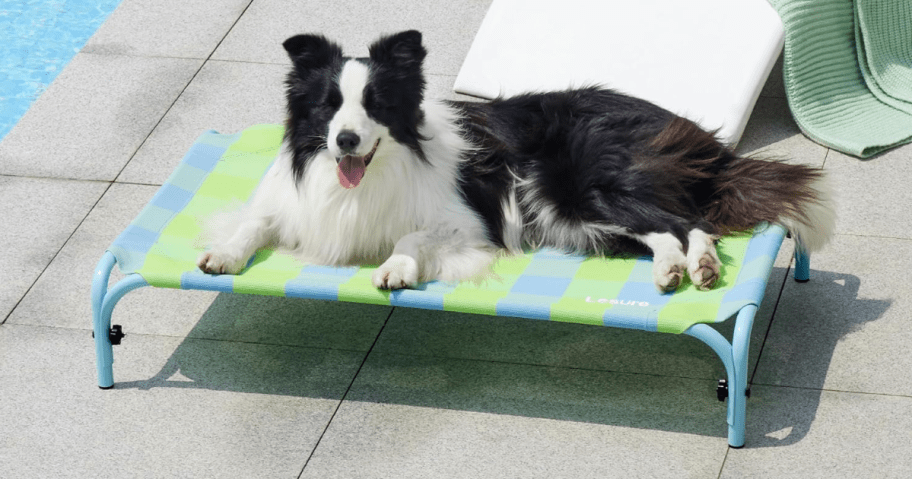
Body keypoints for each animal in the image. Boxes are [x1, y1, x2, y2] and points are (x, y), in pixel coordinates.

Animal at [198, 31, 832, 292]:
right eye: (328, 107)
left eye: (375, 104)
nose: (346, 142)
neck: (367, 176)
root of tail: (693, 133)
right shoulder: (292, 202)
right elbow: (254, 221)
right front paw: (222, 254)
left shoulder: (465, 221)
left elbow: (411, 237)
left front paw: (396, 268)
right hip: (577, 214)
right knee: (664, 232)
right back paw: (673, 270)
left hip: (570, 187)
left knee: (688, 221)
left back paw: (698, 266)